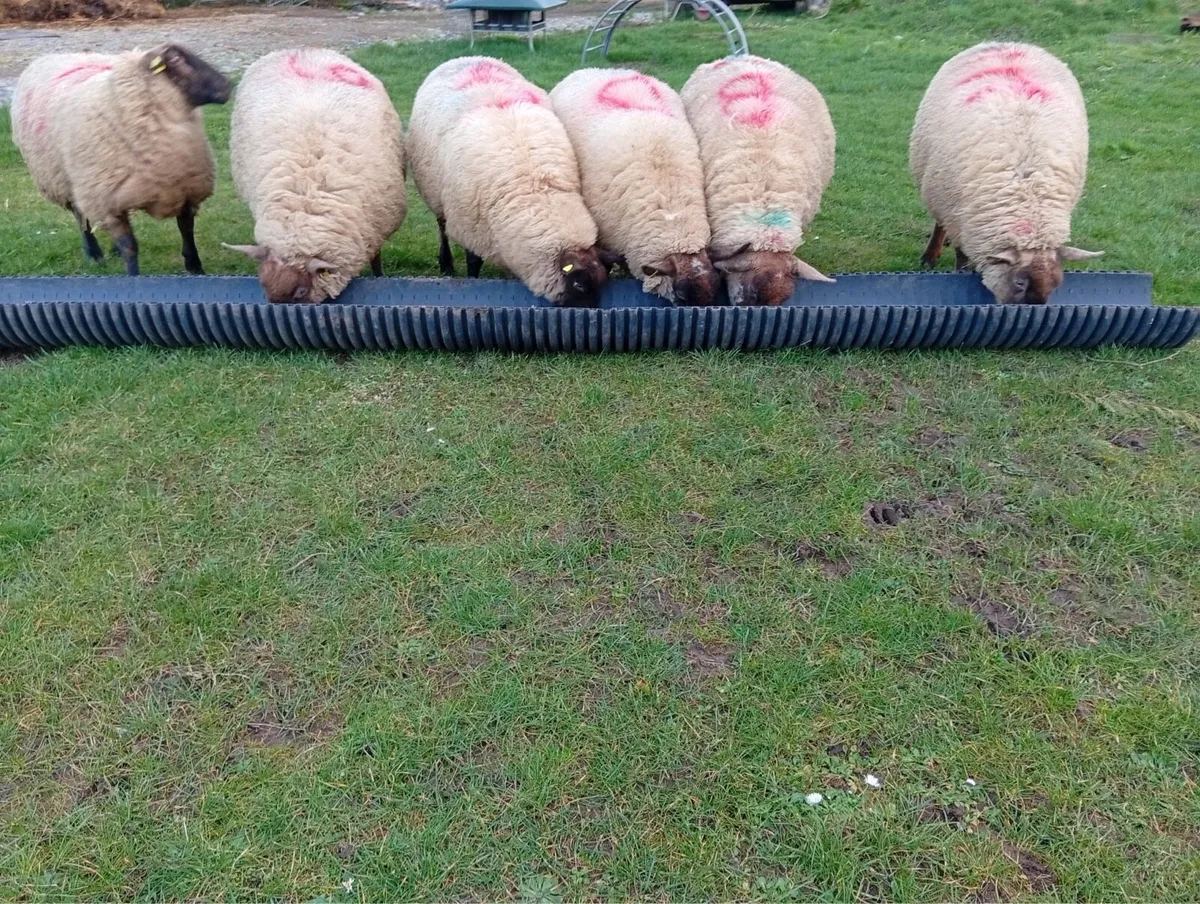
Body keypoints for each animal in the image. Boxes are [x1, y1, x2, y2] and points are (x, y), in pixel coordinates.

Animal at [11, 44, 231, 275]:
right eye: (176, 59)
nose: (228, 86)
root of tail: (49, 57)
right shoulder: (106, 203)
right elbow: (130, 246)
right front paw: (133, 274)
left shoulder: (186, 188)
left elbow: (186, 228)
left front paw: (195, 266)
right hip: (63, 181)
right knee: (81, 218)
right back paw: (94, 254)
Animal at [223, 49, 407, 304]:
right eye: (263, 286)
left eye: (300, 292)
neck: (306, 199)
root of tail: (300, 50)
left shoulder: (375, 226)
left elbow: (376, 258)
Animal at [406, 57, 610, 307]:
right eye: (579, 285)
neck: (534, 188)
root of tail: (468, 57)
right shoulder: (471, 226)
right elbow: (473, 262)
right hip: (435, 193)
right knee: (442, 226)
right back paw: (446, 265)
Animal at [910, 42, 1103, 304]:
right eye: (1019, 282)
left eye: (1056, 286)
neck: (1028, 194)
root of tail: (1008, 43)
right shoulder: (960, 216)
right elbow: (962, 256)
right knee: (940, 224)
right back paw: (931, 255)